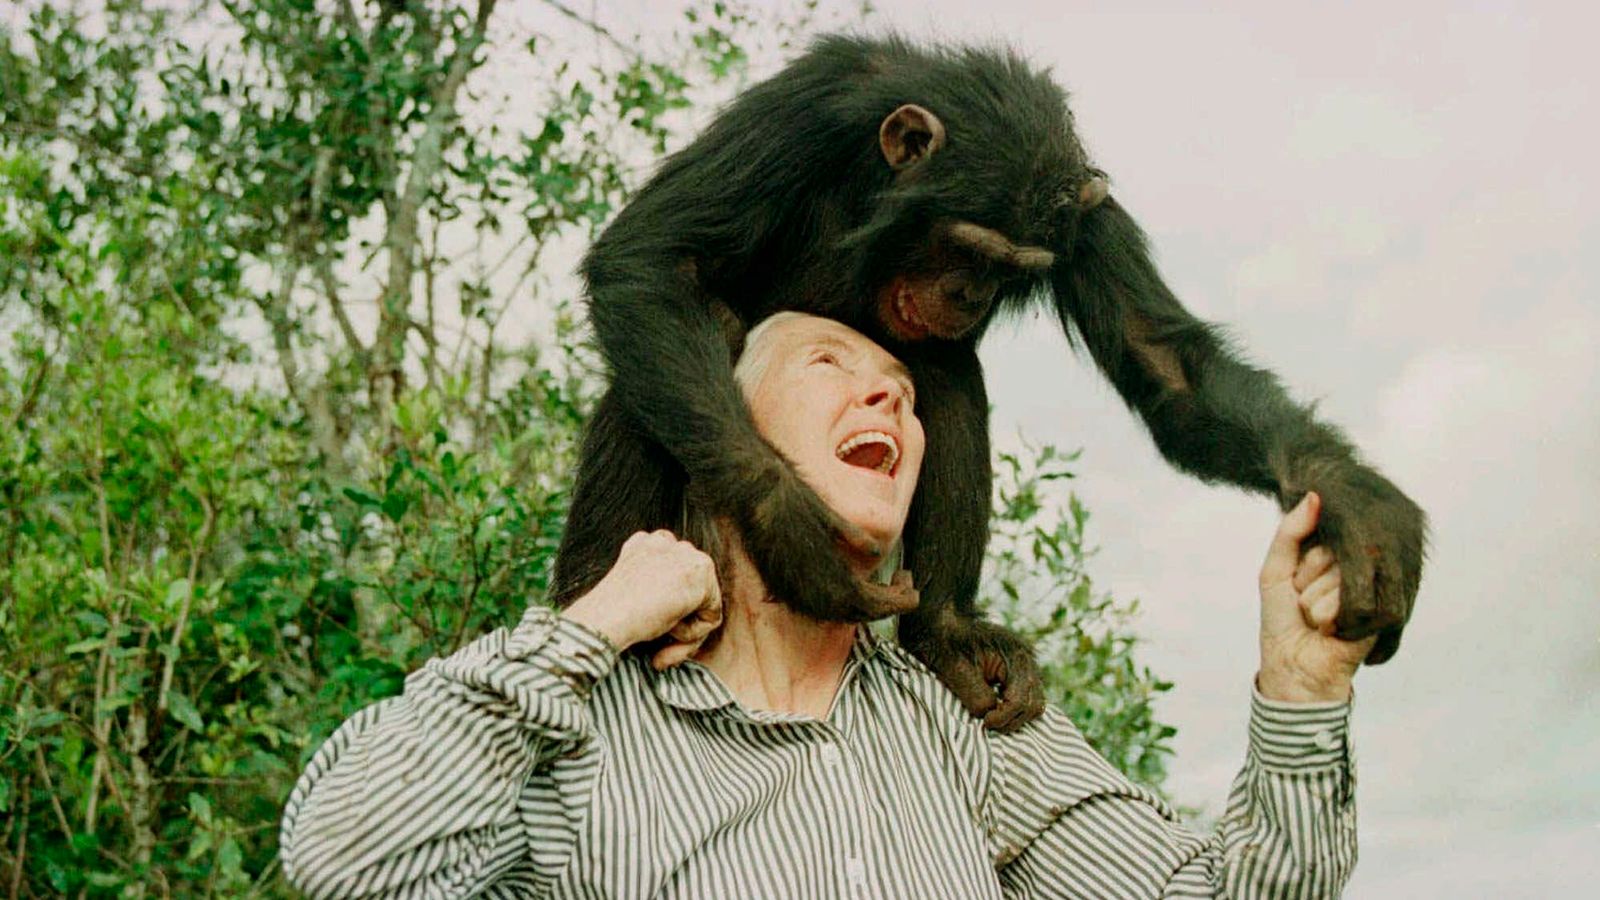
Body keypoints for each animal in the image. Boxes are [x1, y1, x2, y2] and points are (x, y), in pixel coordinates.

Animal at [549, 34, 1427, 731]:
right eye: (967, 246)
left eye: (1012, 269)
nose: (969, 293)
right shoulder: (800, 112)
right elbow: (655, 256)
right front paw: (792, 533)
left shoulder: (1087, 221)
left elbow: (1166, 363)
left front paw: (1354, 503)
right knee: (670, 363)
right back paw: (593, 595)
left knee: (948, 375)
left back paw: (947, 631)